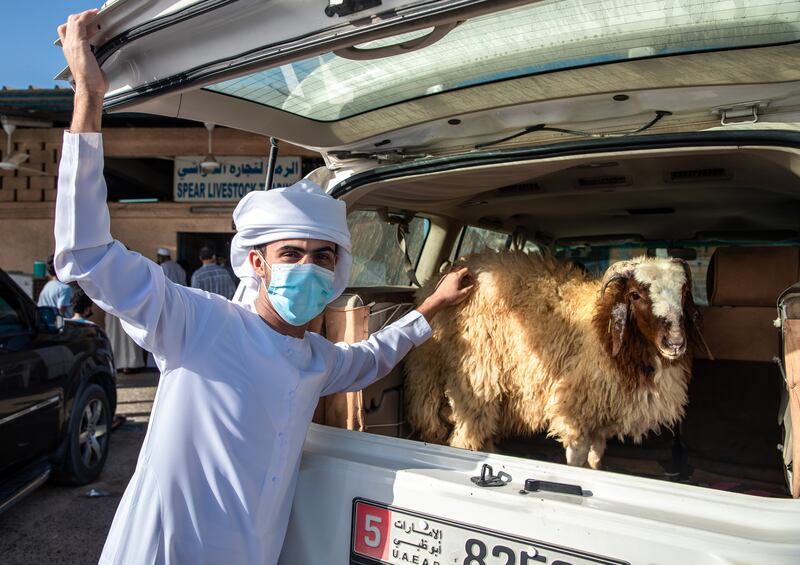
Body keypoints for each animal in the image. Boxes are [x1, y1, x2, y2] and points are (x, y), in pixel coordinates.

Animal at [404, 251, 704, 468]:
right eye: (635, 294)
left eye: (684, 293)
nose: (675, 343)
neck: (602, 326)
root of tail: (436, 280)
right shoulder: (574, 411)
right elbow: (577, 462)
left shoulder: (600, 418)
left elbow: (595, 460)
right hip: (475, 377)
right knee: (466, 433)